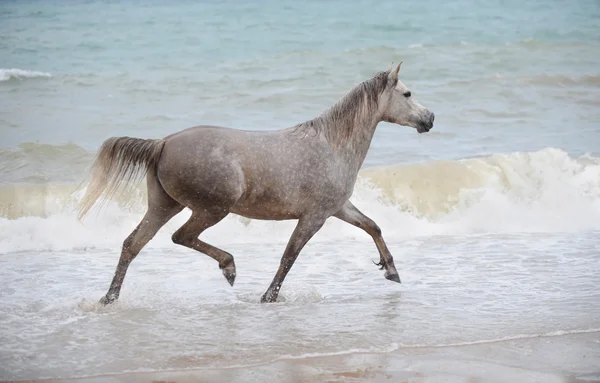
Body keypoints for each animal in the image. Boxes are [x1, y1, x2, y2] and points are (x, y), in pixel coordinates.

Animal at [78, 64, 436, 308]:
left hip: (164, 205)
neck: (332, 145)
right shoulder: (315, 216)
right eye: (407, 94)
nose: (430, 119)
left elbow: (372, 226)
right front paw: (268, 297)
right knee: (181, 237)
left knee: (133, 244)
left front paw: (391, 271)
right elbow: (289, 255)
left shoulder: (337, 208)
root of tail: (163, 143)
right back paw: (229, 267)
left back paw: (109, 298)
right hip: (211, 209)